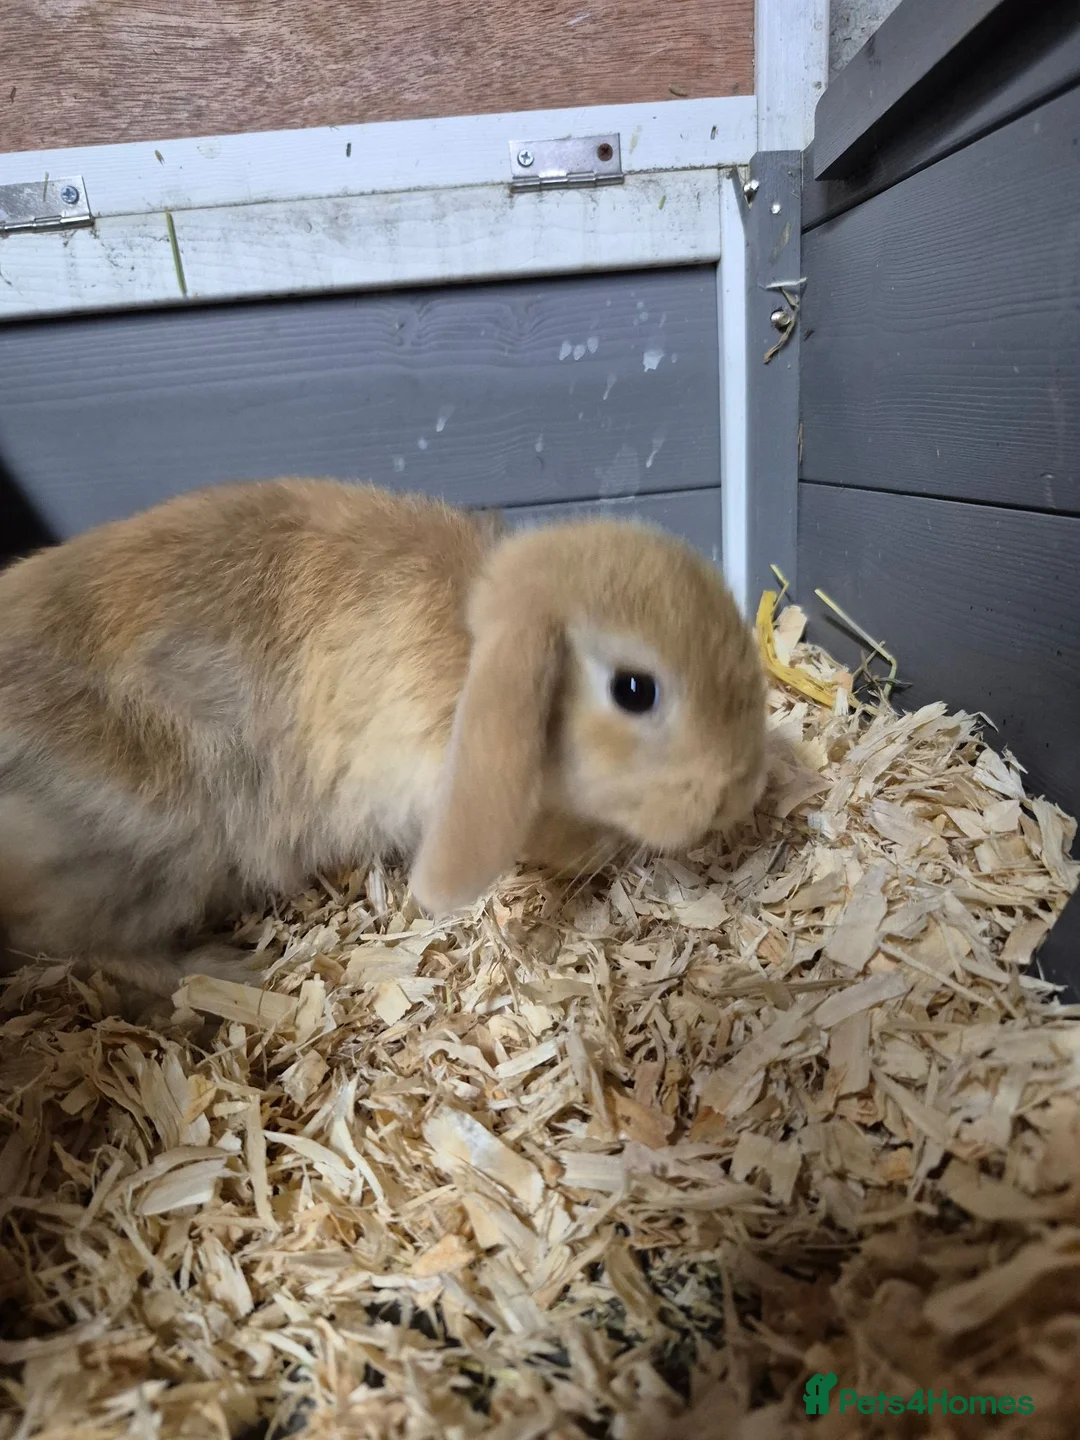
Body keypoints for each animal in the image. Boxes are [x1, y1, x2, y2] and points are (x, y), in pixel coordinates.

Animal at [0, 478, 766, 1000]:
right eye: (635, 690)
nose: (742, 788)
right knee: (71, 941)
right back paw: (224, 971)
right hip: (143, 856)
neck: (467, 649)